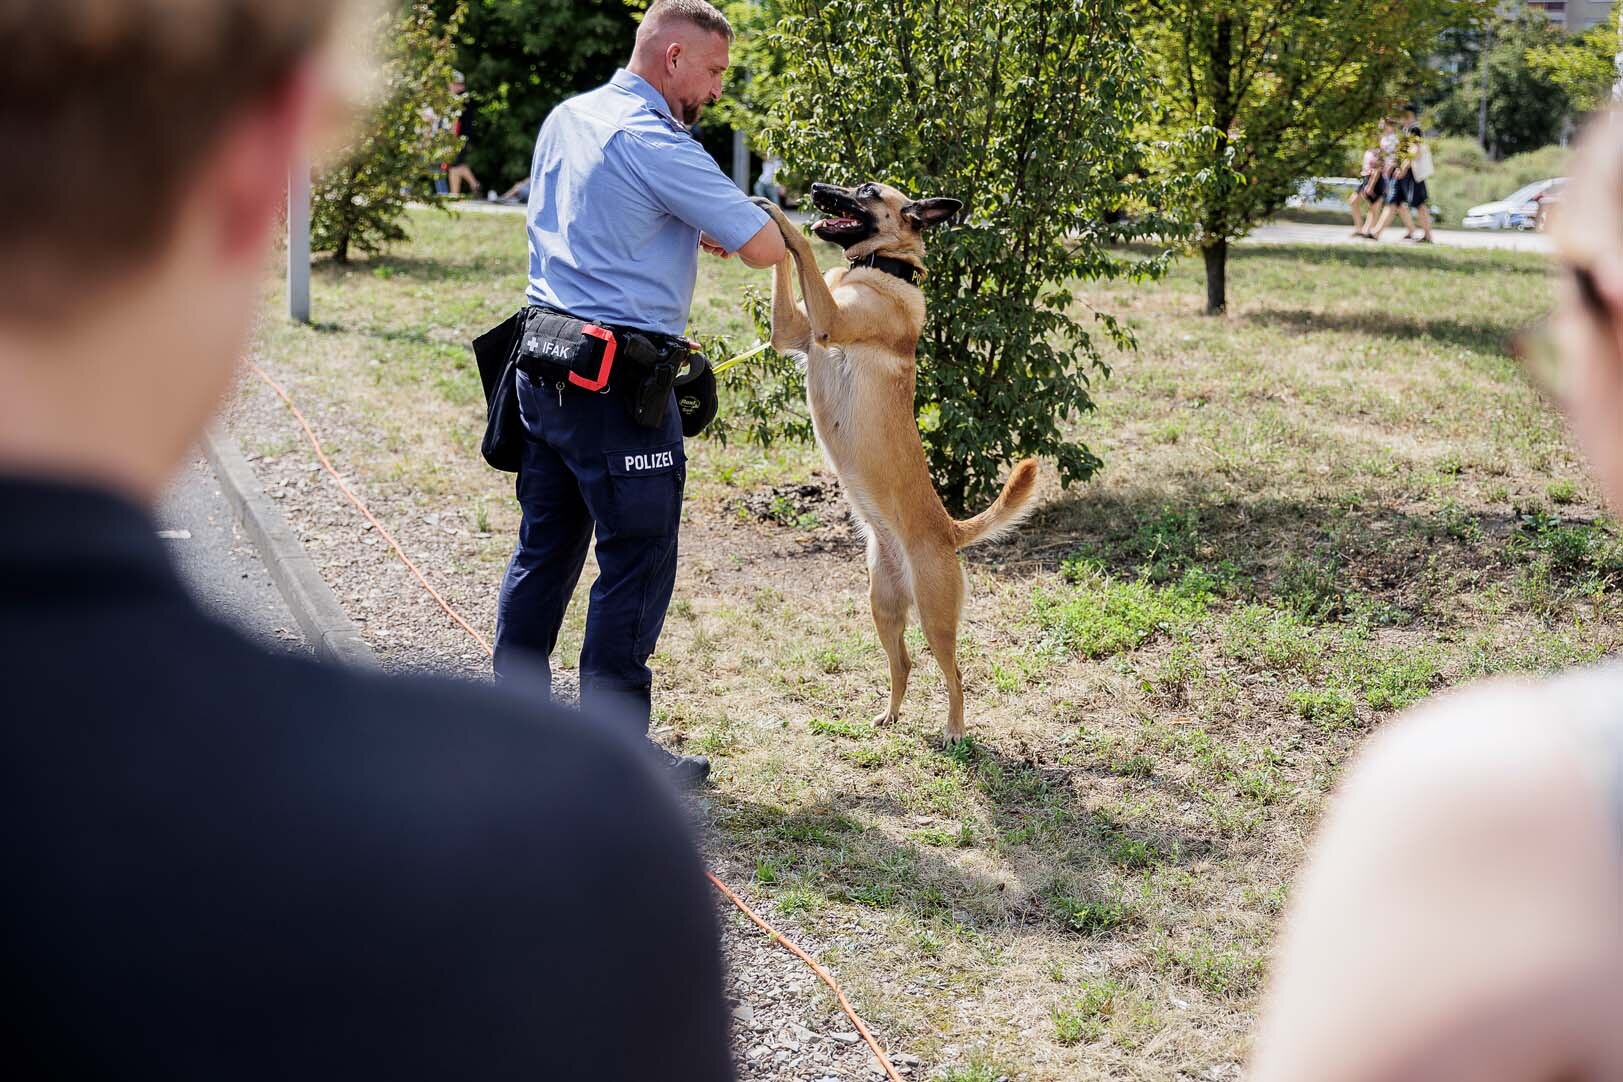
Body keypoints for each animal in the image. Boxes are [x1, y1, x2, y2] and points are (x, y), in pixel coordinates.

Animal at [749, 184, 1038, 746]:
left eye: (865, 192)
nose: (815, 190)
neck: (882, 270)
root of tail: (949, 530)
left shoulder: (830, 322)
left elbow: (803, 249)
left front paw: (778, 217)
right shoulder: (794, 330)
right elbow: (792, 267)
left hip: (935, 617)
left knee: (955, 673)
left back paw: (954, 730)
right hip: (882, 605)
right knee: (903, 664)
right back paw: (889, 716)